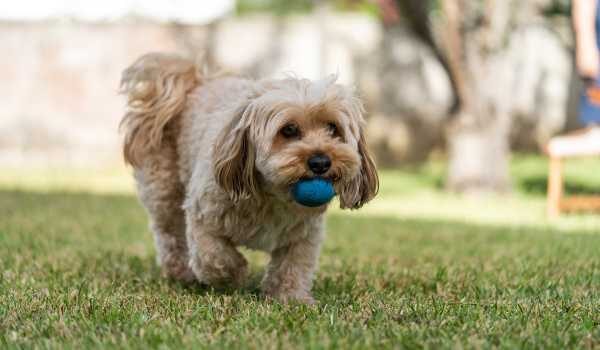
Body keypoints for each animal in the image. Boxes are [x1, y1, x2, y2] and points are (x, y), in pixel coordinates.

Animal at [119, 52, 378, 304]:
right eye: (289, 129)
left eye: (333, 128)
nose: (321, 162)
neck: (273, 197)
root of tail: (195, 83)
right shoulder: (203, 216)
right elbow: (215, 255)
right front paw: (236, 275)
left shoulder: (304, 235)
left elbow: (294, 265)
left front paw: (291, 298)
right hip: (165, 191)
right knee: (169, 233)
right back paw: (182, 272)